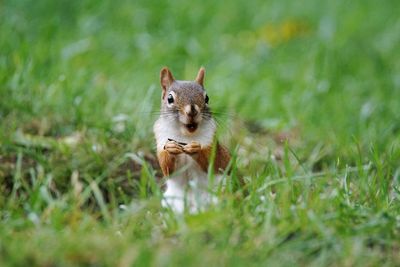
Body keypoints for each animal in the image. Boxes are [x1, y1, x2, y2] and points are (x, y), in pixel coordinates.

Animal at [155, 67, 233, 214]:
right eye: (170, 98)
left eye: (207, 98)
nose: (192, 110)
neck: (186, 135)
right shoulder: (161, 139)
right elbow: (167, 168)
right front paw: (171, 149)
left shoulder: (211, 142)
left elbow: (213, 162)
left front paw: (195, 149)